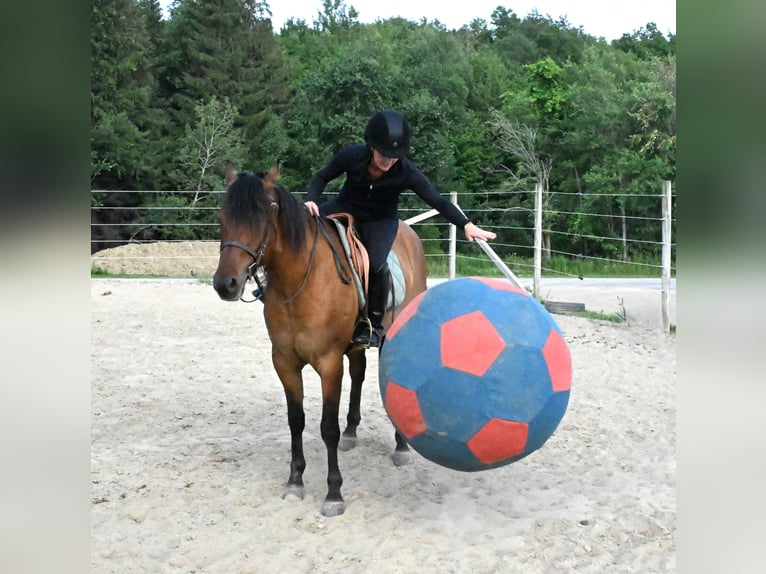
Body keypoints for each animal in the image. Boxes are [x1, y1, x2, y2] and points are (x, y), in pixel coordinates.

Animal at [212, 163, 427, 516]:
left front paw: (334, 493)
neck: (299, 280)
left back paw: (400, 446)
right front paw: (295, 481)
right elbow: (296, 420)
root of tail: (410, 236)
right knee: (359, 372)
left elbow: (327, 427)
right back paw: (353, 432)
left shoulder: (328, 364)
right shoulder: (284, 362)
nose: (225, 284)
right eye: (222, 217)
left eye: (260, 219)